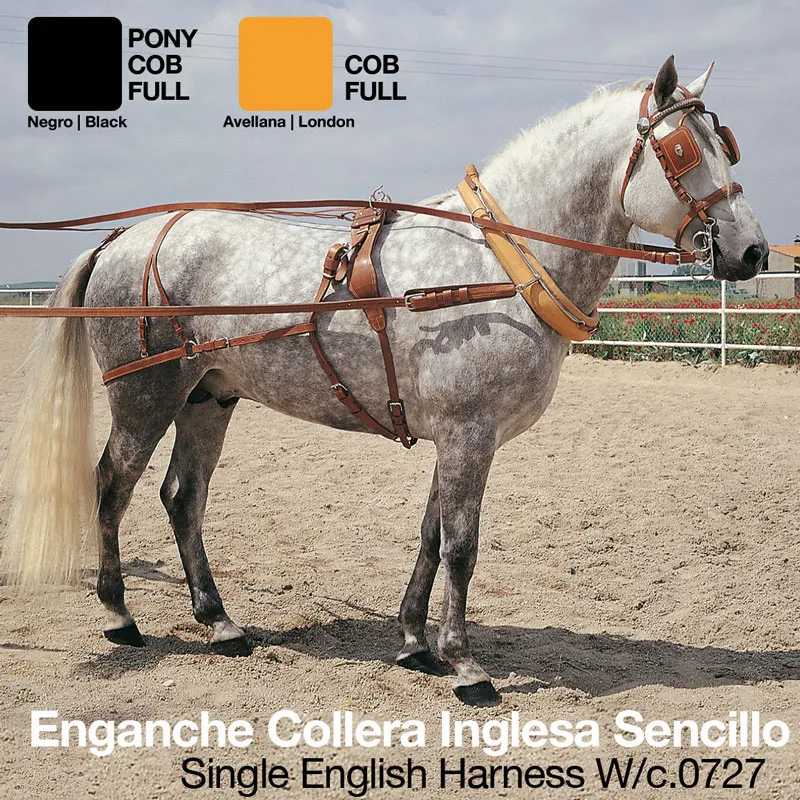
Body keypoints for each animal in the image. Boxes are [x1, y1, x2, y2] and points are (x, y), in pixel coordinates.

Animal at [1, 56, 766, 706]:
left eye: (728, 144)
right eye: (683, 150)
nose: (753, 250)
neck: (495, 264)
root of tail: (126, 238)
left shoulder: (457, 440)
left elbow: (430, 537)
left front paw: (414, 644)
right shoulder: (468, 436)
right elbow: (461, 547)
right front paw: (465, 664)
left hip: (208, 397)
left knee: (182, 498)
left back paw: (221, 624)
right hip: (146, 397)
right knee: (111, 486)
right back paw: (120, 616)